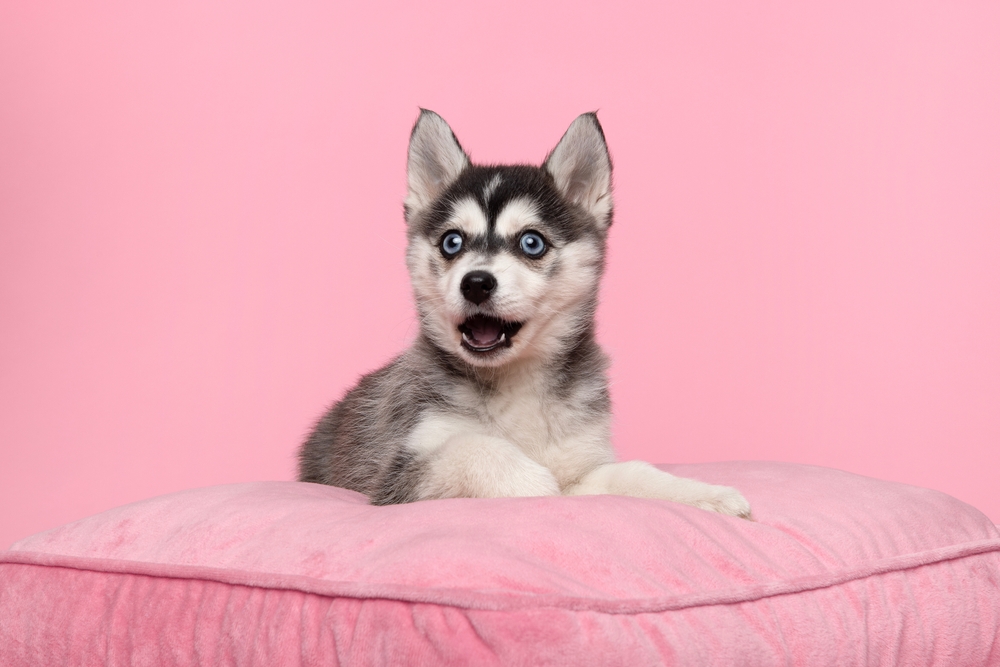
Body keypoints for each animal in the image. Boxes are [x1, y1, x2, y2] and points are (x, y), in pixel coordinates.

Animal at [296, 109, 752, 520]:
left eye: (531, 243)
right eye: (451, 242)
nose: (476, 283)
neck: (516, 382)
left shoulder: (583, 462)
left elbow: (632, 473)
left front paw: (707, 494)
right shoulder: (399, 469)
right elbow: (475, 447)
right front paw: (535, 484)